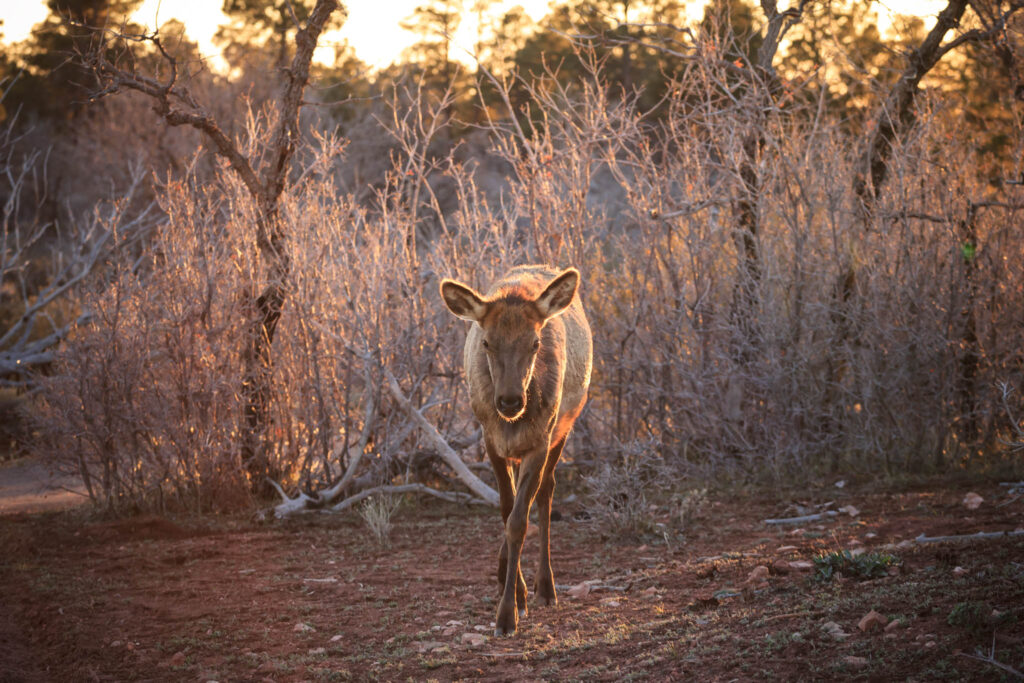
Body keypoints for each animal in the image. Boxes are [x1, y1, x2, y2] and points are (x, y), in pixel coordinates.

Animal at [438, 266, 593, 634]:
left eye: (535, 342)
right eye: (486, 342)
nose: (510, 401)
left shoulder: (540, 439)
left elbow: (519, 522)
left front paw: (508, 613)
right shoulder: (490, 440)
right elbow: (506, 511)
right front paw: (514, 593)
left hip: (563, 427)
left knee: (547, 492)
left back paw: (546, 587)